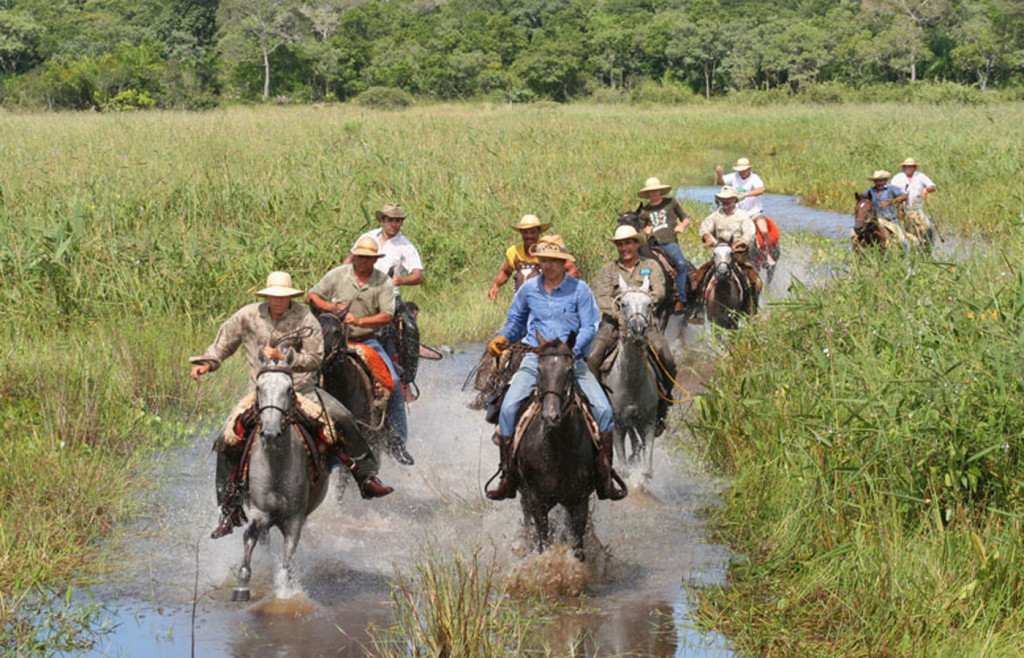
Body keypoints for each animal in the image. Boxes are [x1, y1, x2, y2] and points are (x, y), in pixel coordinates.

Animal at [231, 349, 327, 601]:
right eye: (259, 388)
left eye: (289, 389)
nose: (271, 434)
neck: (276, 469)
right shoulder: (260, 511)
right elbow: (250, 535)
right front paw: (241, 586)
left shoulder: (294, 520)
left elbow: (287, 561)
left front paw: (286, 590)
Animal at [516, 339, 598, 560]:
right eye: (539, 369)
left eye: (569, 370)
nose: (551, 416)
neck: (558, 449)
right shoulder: (537, 500)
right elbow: (543, 542)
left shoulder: (579, 500)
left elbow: (577, 546)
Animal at [602, 276, 659, 487]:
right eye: (623, 304)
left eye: (649, 304)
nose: (638, 330)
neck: (632, 382)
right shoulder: (617, 426)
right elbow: (624, 470)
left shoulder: (648, 423)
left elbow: (647, 470)